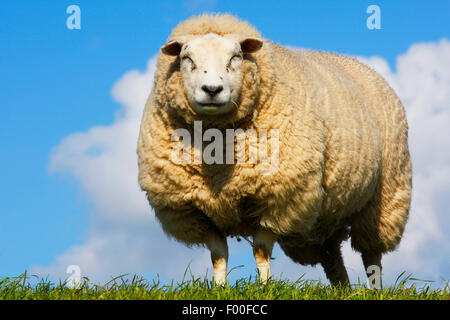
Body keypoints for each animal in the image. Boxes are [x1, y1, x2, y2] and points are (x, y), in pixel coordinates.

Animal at [137, 13, 412, 288]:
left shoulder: (278, 197)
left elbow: (260, 250)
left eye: (235, 57)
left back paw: (374, 289)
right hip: (323, 219)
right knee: (332, 256)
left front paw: (265, 287)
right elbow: (218, 255)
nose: (212, 90)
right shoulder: (196, 210)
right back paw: (343, 289)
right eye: (187, 58)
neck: (218, 162)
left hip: (384, 199)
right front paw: (219, 288)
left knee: (371, 254)